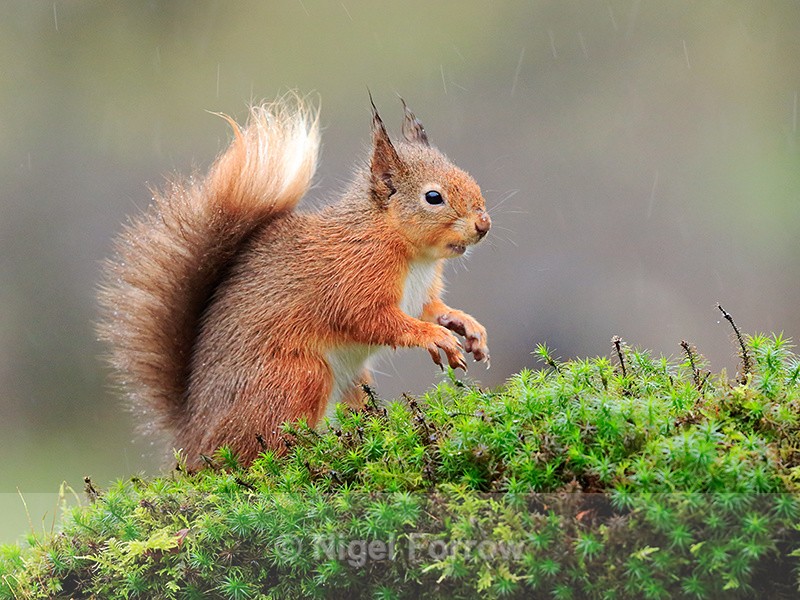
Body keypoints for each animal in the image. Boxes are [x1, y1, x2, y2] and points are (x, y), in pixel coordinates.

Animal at [99, 94, 491, 470]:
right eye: (433, 197)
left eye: (465, 174)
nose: (483, 225)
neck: (413, 254)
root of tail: (192, 439)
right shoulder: (353, 278)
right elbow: (369, 319)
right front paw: (434, 337)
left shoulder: (421, 295)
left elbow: (433, 309)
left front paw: (467, 326)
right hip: (298, 376)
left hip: (352, 381)